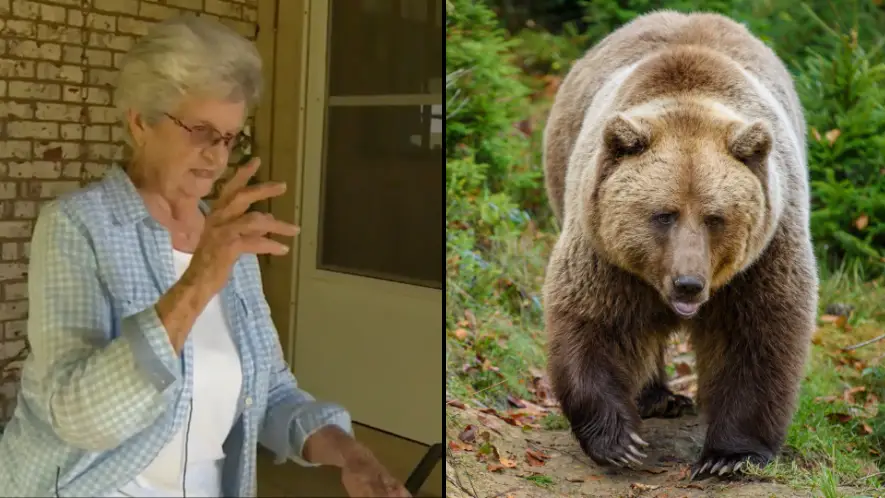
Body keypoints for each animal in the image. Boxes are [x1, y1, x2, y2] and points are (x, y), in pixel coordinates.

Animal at [541, 10, 818, 480]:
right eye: (663, 214)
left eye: (715, 217)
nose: (688, 283)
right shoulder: (603, 248)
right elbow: (591, 319)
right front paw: (621, 442)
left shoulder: (766, 250)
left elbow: (760, 331)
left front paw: (728, 456)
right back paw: (659, 397)